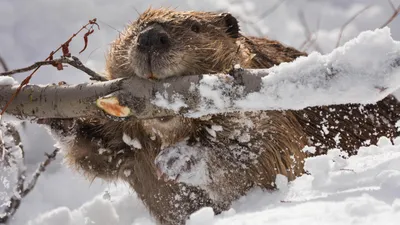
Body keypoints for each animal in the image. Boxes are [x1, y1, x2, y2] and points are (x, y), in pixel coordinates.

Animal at [43, 7, 400, 225]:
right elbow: (100, 154)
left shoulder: (275, 116)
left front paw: (178, 159)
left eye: (195, 27)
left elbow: (265, 154)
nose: (150, 38)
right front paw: (57, 113)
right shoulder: (131, 144)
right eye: (133, 30)